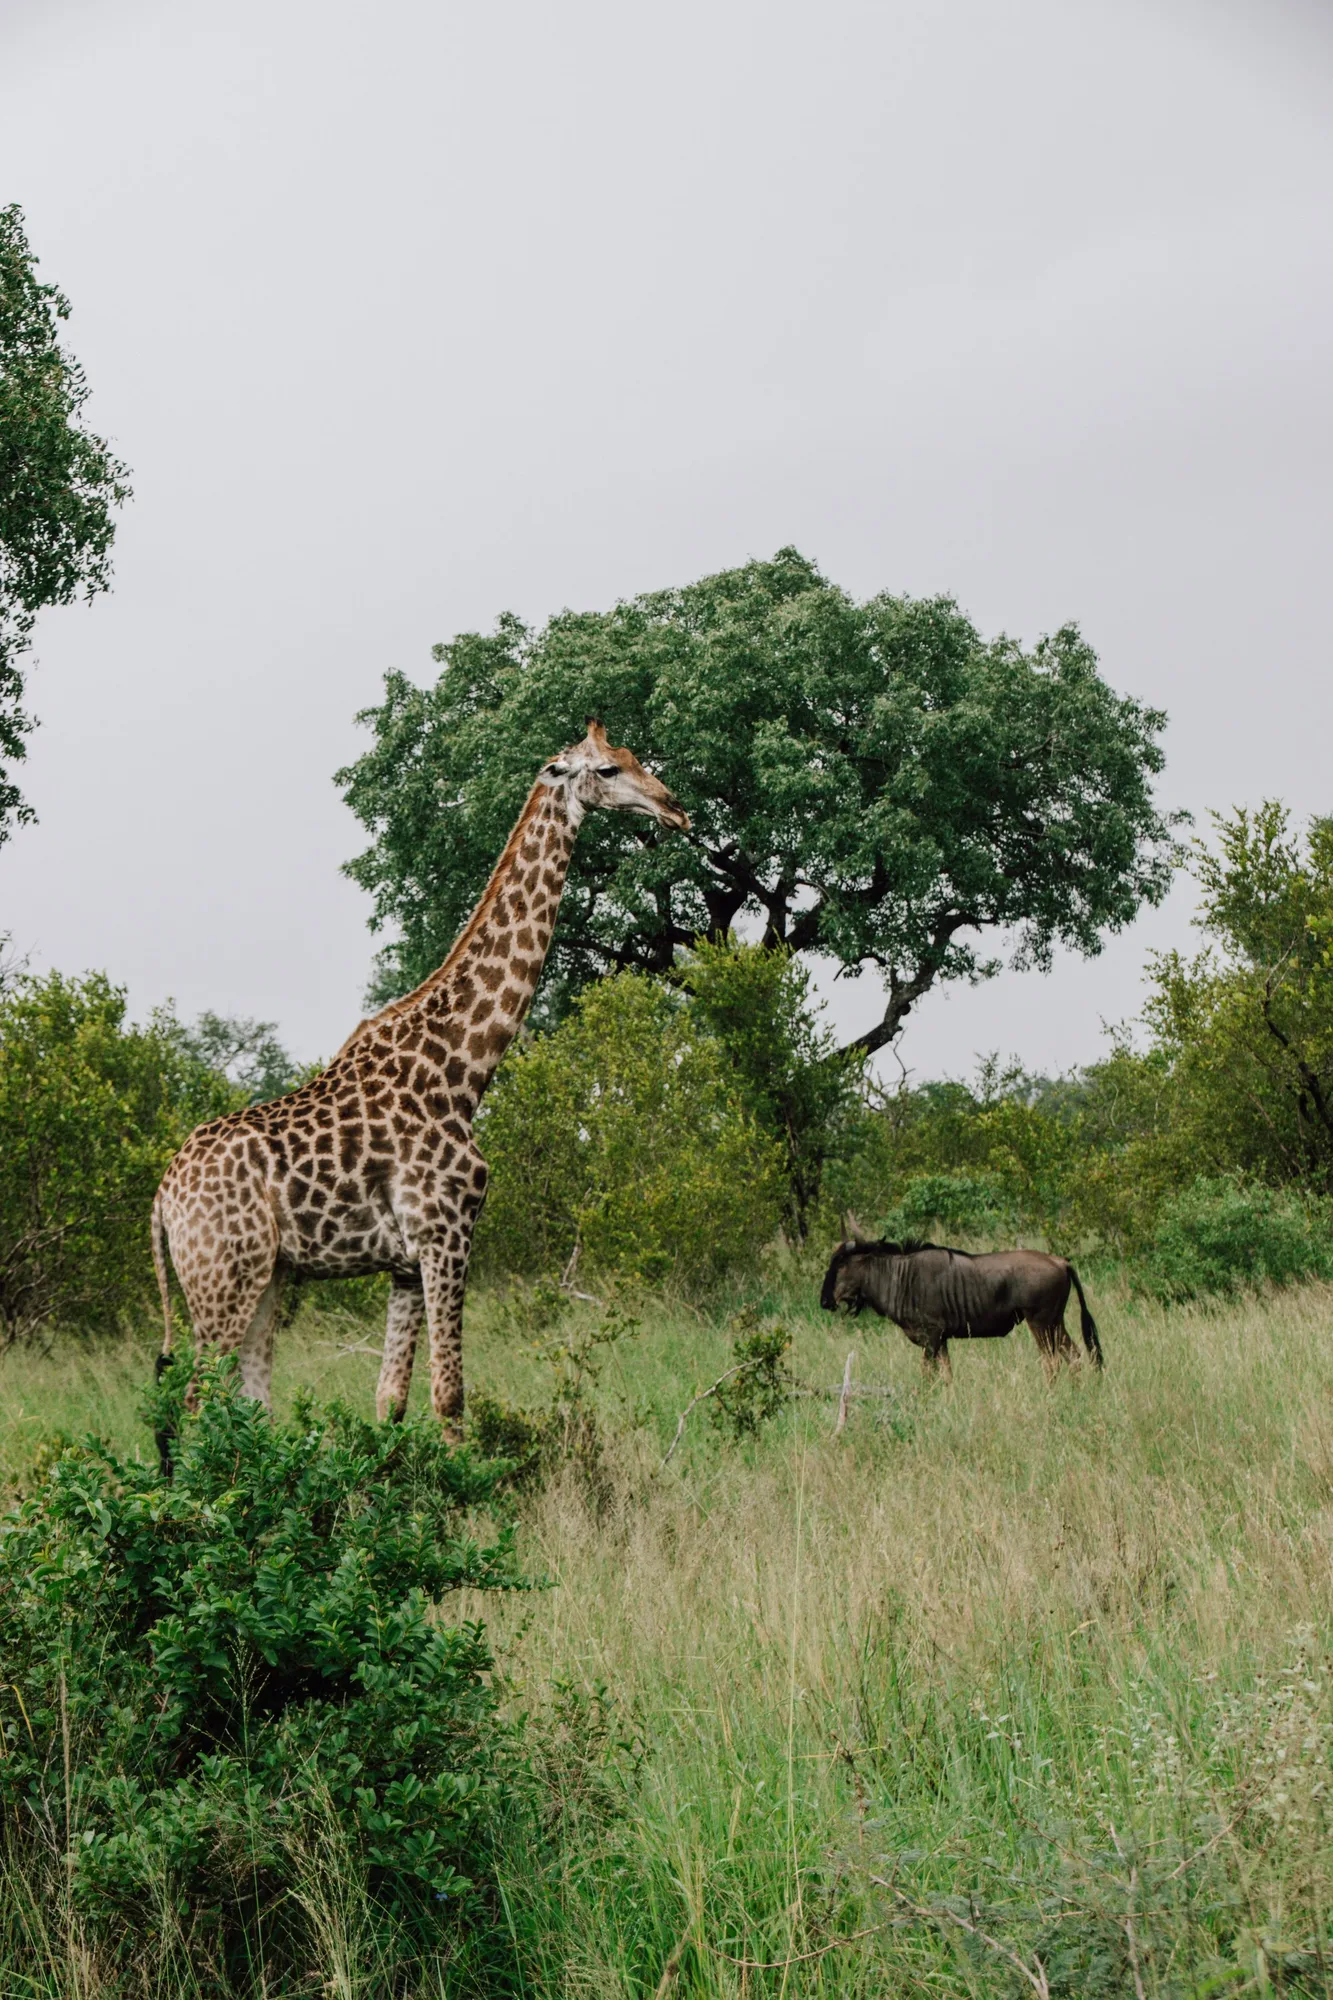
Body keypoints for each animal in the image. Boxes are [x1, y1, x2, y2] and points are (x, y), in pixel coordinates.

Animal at [151, 720, 689, 1437]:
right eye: (606, 770)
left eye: (634, 757)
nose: (674, 809)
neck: (463, 1067)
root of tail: (162, 1199)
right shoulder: (446, 1234)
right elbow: (449, 1395)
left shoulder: (405, 1262)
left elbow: (391, 1399)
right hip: (222, 1277)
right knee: (191, 1405)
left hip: (265, 1276)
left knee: (249, 1404)